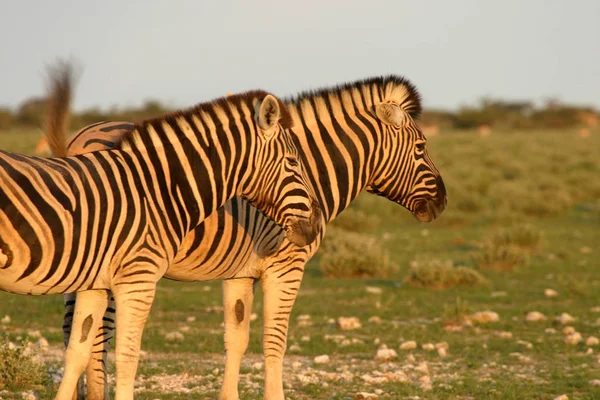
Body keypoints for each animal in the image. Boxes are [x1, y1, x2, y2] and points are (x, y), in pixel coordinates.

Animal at [0, 86, 324, 398]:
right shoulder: (138, 280)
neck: (156, 191)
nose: (316, 223)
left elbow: (77, 351)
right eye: (293, 161)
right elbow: (127, 357)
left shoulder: (96, 283)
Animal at [52, 75, 446, 400]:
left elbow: (236, 339)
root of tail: (82, 136)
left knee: (77, 331)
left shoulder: (240, 272)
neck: (306, 171)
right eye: (422, 147)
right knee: (97, 338)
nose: (443, 202)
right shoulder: (286, 266)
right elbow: (275, 341)